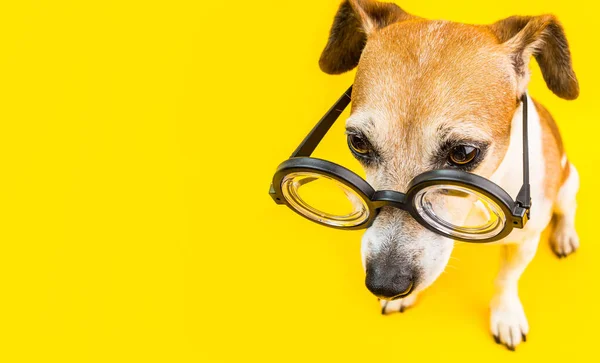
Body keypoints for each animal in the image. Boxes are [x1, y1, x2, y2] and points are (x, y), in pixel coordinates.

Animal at [322, 0, 580, 352]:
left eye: (463, 152)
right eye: (358, 142)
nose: (385, 284)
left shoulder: (525, 240)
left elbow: (506, 278)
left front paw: (506, 314)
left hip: (570, 181)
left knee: (567, 209)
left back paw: (565, 235)